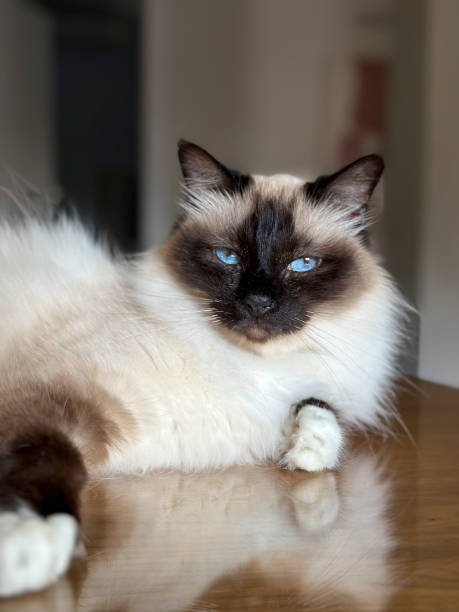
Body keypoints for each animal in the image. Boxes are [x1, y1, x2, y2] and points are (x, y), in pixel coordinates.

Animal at [0, 141, 402, 596]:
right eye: (227, 257)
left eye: (302, 264)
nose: (258, 302)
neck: (248, 368)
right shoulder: (55, 399)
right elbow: (47, 459)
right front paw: (28, 545)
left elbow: (321, 412)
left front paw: (308, 446)